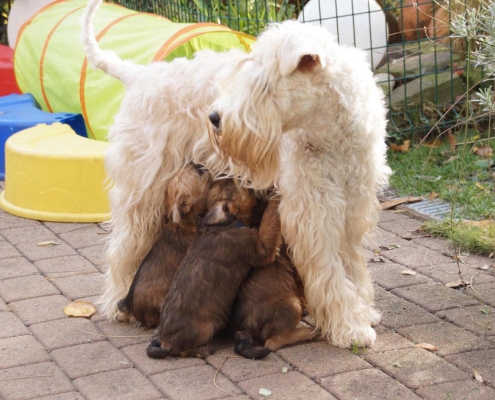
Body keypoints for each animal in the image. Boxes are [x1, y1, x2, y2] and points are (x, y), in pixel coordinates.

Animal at [146, 180, 282, 358]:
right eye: (240, 186)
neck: (221, 224)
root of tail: (164, 339)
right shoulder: (260, 248)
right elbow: (269, 221)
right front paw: (276, 195)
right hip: (204, 329)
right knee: (182, 351)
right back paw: (204, 350)